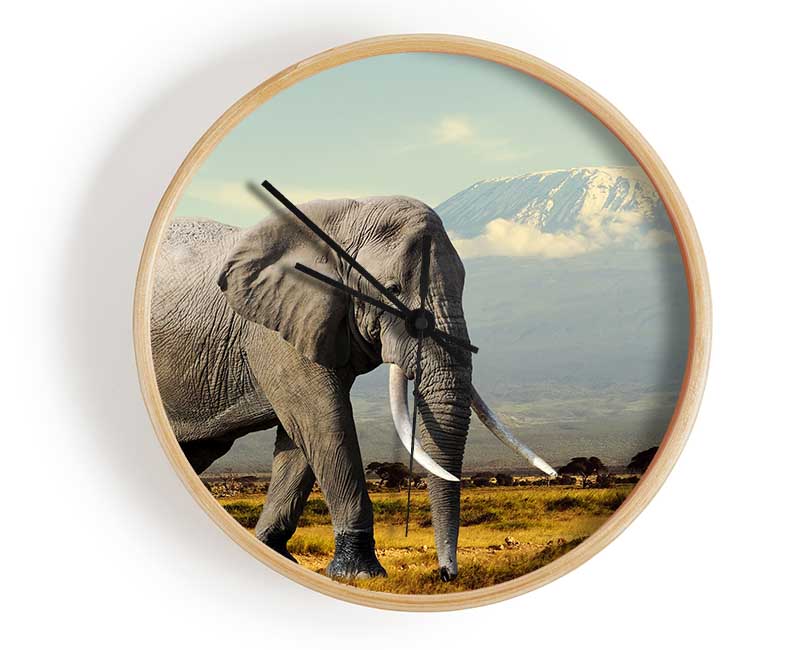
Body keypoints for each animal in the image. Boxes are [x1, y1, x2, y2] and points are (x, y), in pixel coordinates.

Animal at [151, 195, 555, 581]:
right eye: (390, 290)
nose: (446, 575)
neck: (346, 218)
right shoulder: (276, 329)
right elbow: (323, 421)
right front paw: (360, 572)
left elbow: (301, 440)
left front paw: (275, 553)